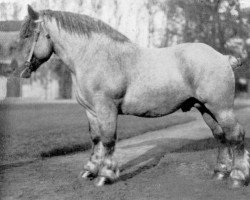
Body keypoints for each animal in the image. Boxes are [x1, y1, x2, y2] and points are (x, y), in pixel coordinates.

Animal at [14, 5, 249, 188]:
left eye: (28, 35)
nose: (17, 69)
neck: (94, 56)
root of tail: (223, 57)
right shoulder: (91, 111)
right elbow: (96, 140)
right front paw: (90, 170)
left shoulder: (106, 108)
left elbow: (108, 140)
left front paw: (105, 176)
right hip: (205, 108)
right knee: (221, 136)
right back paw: (220, 172)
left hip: (221, 108)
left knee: (235, 135)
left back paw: (237, 177)